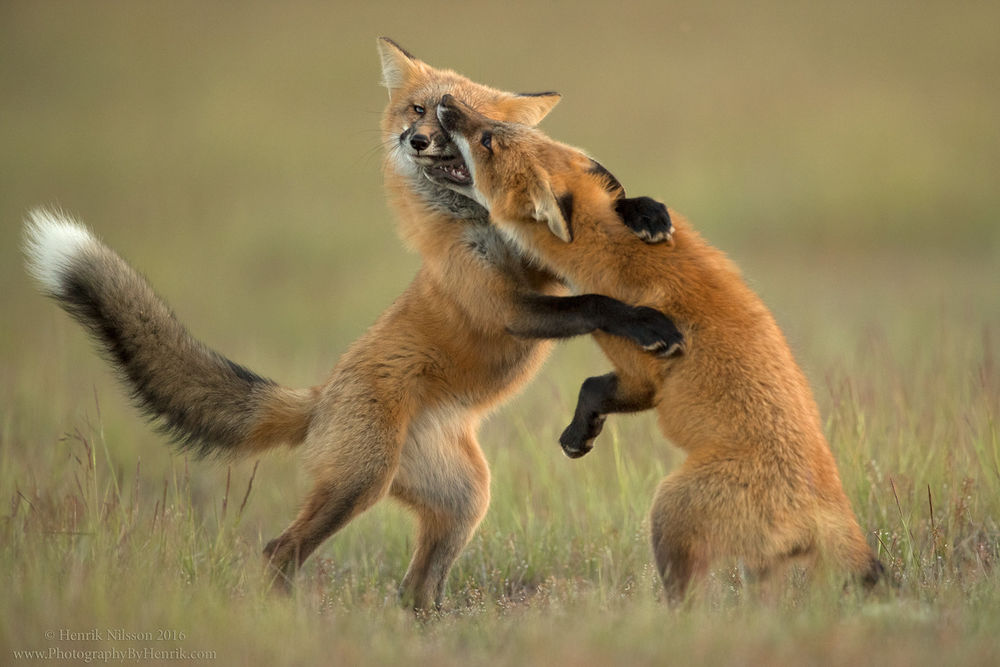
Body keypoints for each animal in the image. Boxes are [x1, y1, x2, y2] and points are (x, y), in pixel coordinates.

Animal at [23, 37, 684, 612]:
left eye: (462, 121)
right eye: (419, 109)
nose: (416, 139)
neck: (481, 226)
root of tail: (320, 397)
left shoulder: (538, 264)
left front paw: (643, 210)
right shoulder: (509, 309)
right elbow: (592, 302)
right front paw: (646, 321)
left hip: (463, 499)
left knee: (414, 589)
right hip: (358, 483)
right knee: (278, 552)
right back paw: (289, 620)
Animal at [438, 96, 884, 604]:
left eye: (487, 139)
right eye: (493, 125)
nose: (446, 102)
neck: (610, 251)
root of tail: (828, 509)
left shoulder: (644, 377)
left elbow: (592, 385)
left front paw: (577, 436)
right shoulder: (638, 376)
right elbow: (593, 386)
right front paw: (581, 434)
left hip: (669, 510)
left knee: (687, 600)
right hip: (758, 565)